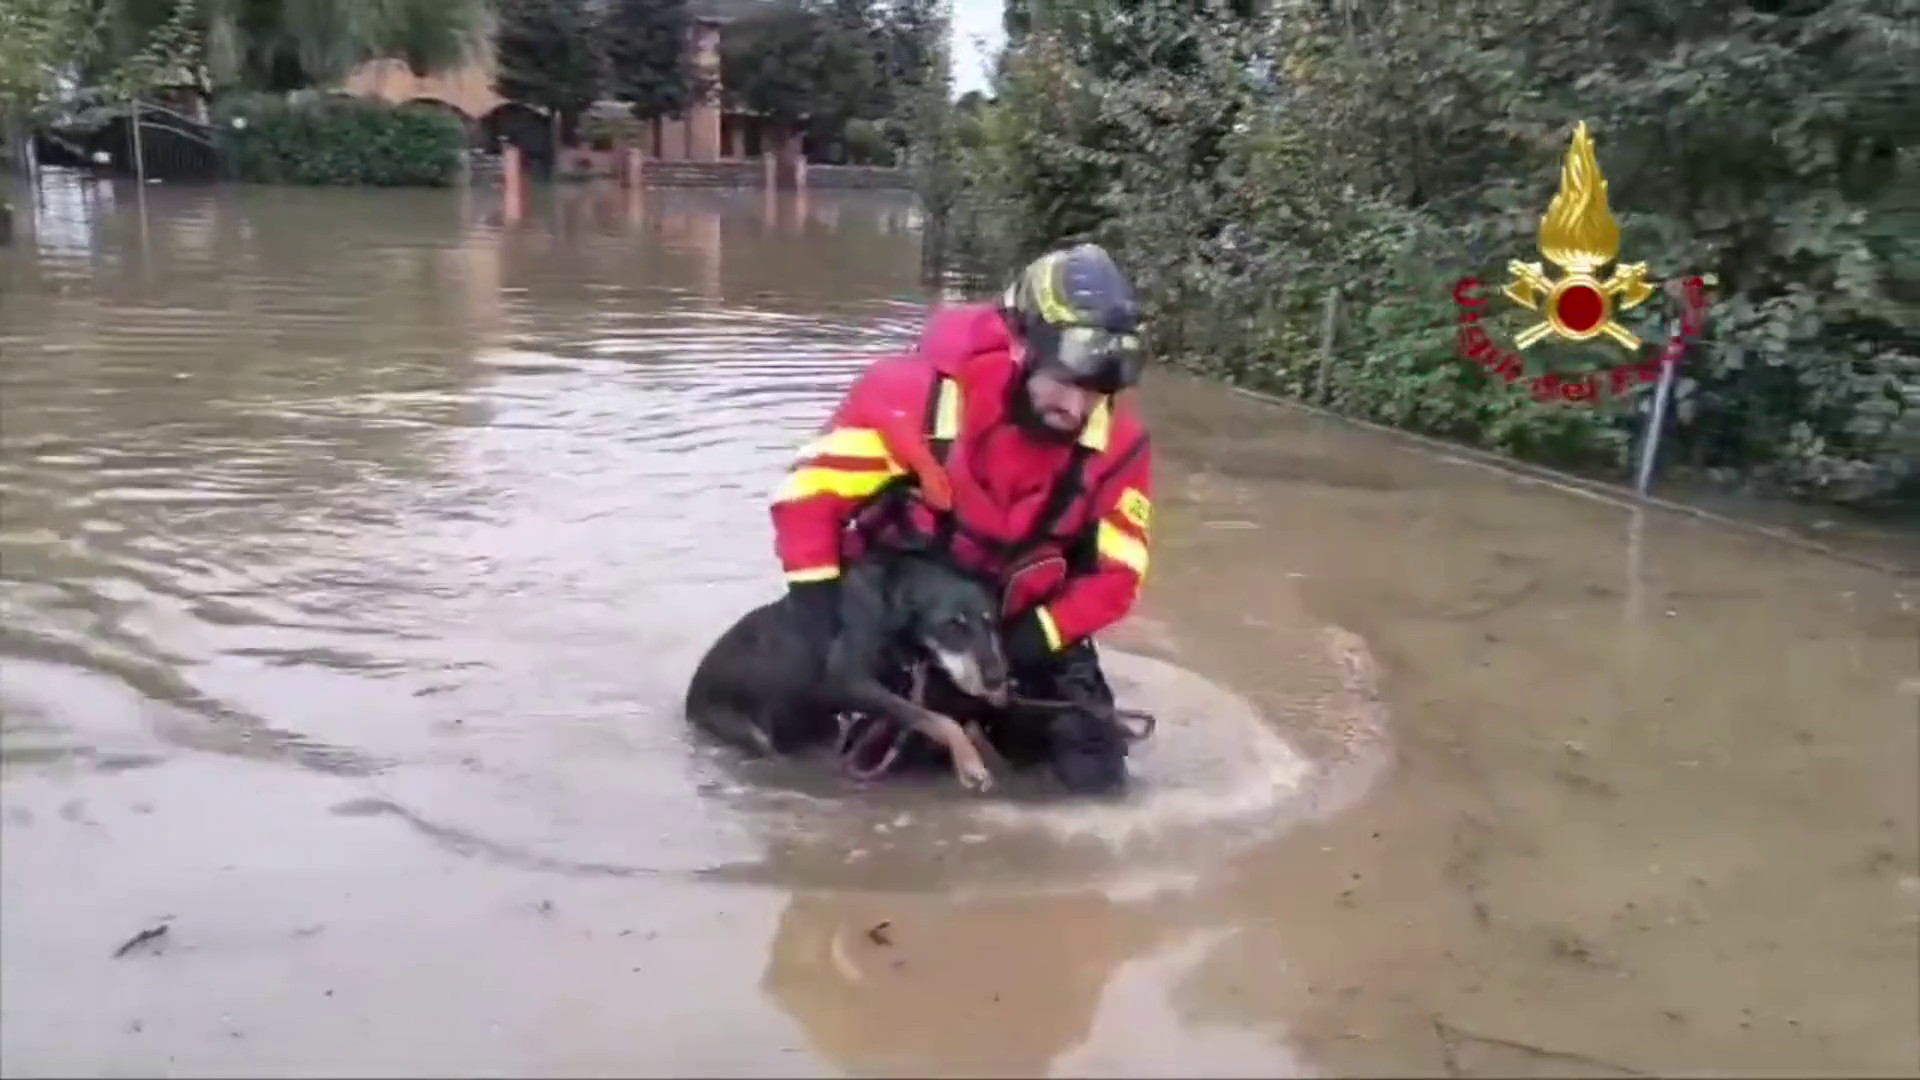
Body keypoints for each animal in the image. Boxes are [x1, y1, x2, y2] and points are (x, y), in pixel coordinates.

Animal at [683, 549, 1013, 787]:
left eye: (990, 622)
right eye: (952, 626)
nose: (996, 679)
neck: (890, 607)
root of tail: (689, 699)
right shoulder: (845, 683)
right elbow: (938, 719)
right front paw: (969, 762)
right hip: (745, 728)